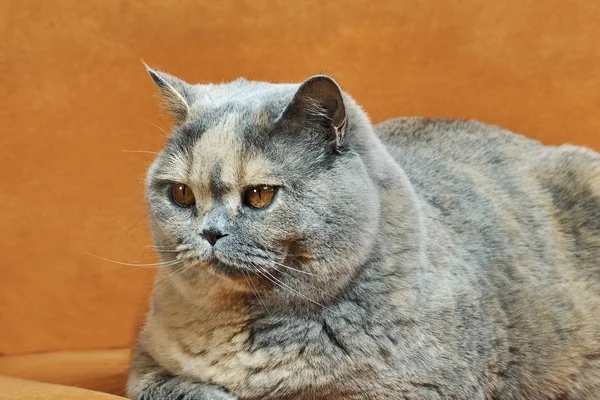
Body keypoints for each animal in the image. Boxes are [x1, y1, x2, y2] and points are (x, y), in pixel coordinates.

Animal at [127, 67, 600, 398]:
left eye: (260, 195)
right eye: (181, 194)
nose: (210, 233)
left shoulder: (412, 390)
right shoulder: (144, 362)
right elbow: (177, 388)